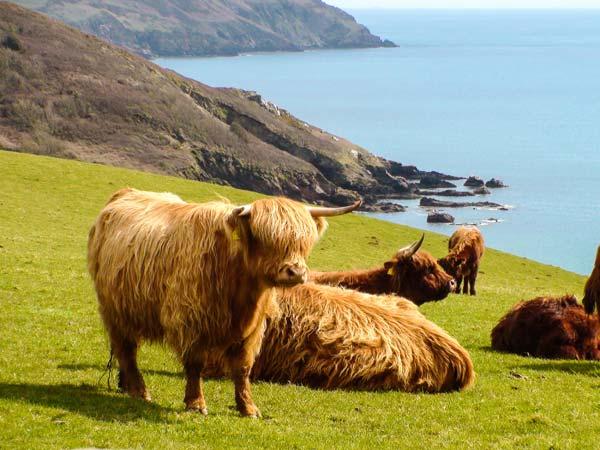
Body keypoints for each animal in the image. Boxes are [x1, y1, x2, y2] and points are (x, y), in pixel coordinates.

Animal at [87, 188, 358, 416]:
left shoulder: (252, 330)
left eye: (304, 242)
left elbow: (243, 368)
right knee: (126, 348)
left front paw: (248, 408)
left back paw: (125, 385)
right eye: (264, 237)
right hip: (115, 309)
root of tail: (125, 192)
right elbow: (195, 364)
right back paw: (139, 390)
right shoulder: (191, 320)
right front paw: (196, 403)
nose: (296, 272)